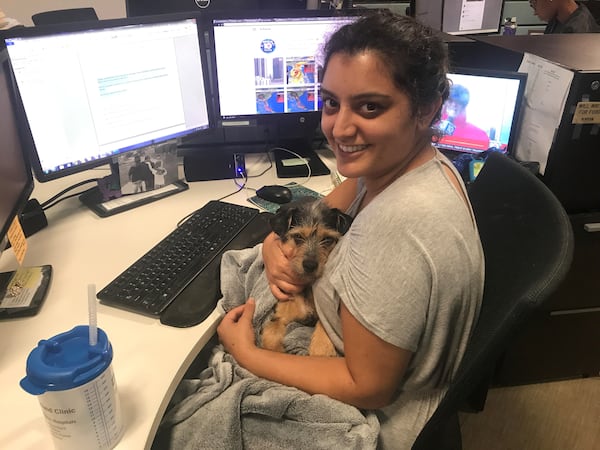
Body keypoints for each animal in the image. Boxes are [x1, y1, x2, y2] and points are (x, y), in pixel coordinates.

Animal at [258, 199, 352, 356]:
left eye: (327, 239)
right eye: (298, 237)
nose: (309, 265)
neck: (307, 287)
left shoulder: (327, 316)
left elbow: (326, 328)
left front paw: (320, 349)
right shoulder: (280, 315)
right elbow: (271, 336)